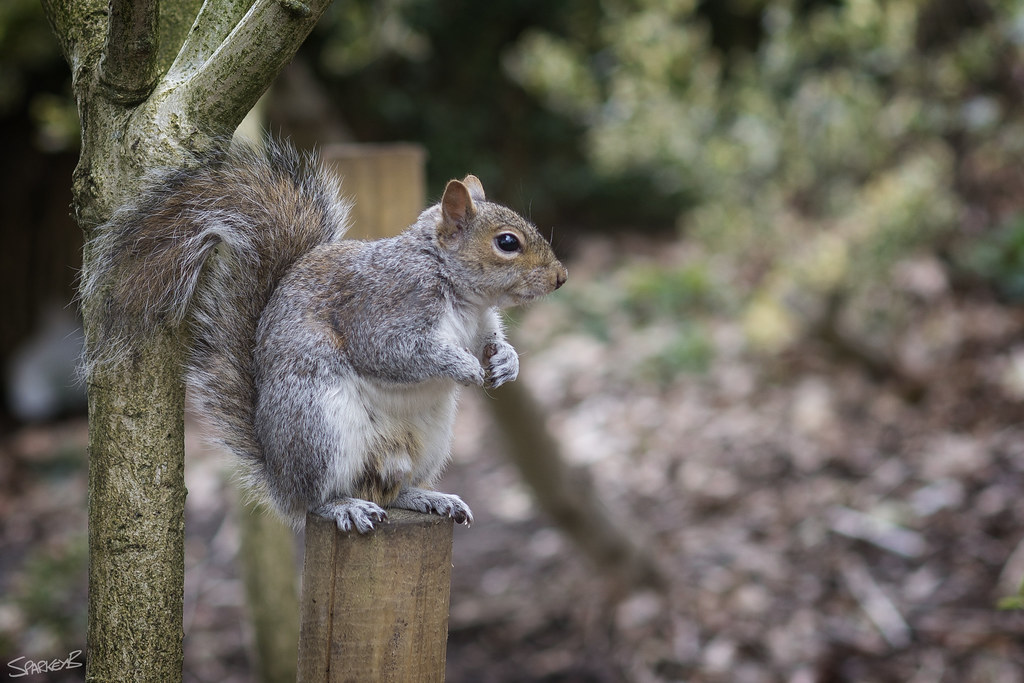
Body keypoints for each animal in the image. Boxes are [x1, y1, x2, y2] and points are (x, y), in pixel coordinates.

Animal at [83, 139, 567, 533]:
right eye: (507, 242)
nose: (561, 278)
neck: (462, 294)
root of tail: (279, 477)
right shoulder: (385, 308)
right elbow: (397, 354)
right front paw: (463, 365)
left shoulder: (482, 323)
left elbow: (492, 342)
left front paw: (505, 363)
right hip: (317, 428)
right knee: (314, 500)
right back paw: (342, 507)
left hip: (428, 441)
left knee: (393, 489)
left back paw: (430, 497)